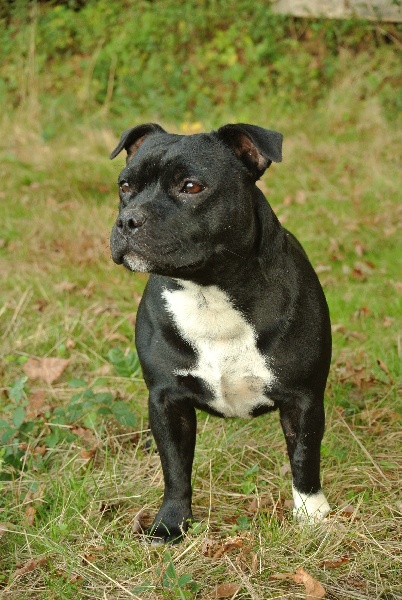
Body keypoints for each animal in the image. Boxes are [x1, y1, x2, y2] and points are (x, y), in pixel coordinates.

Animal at [108, 123, 332, 544]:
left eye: (191, 187)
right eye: (125, 186)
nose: (128, 219)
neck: (208, 293)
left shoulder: (303, 399)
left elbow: (304, 458)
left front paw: (312, 515)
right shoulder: (166, 400)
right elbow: (175, 469)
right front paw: (171, 523)